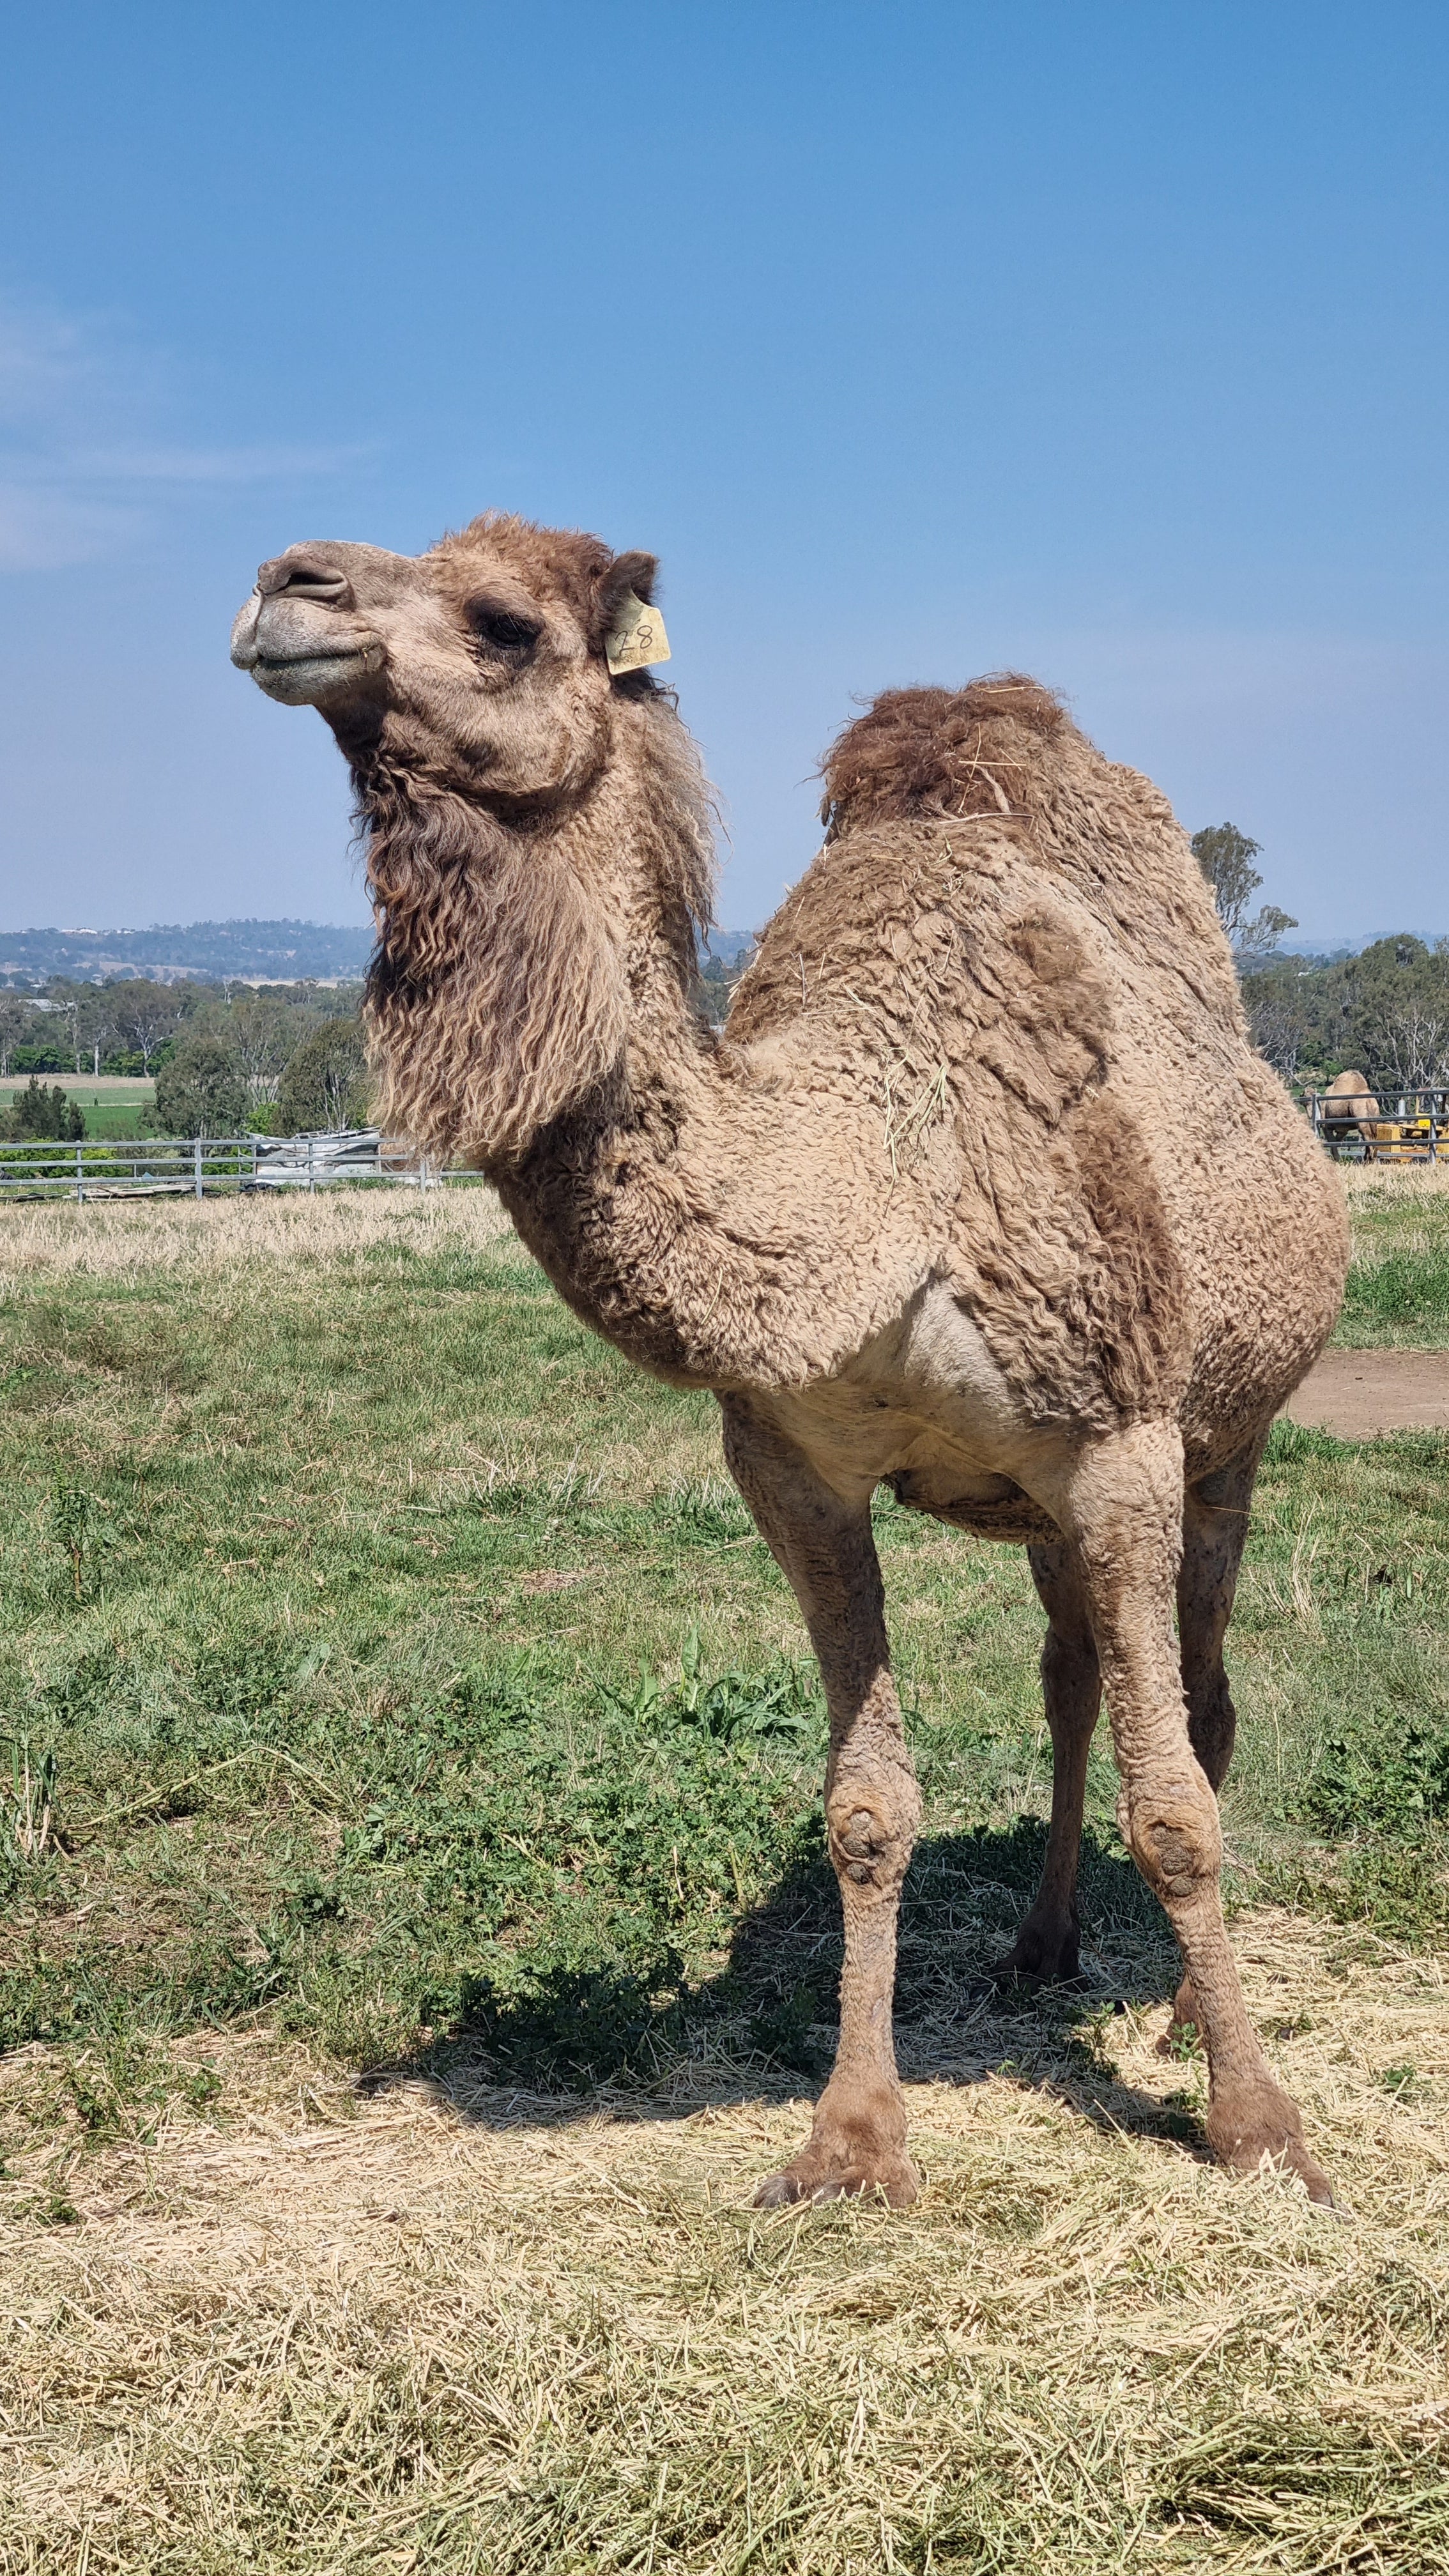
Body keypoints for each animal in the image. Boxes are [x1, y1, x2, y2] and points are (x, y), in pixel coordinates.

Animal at [231, 515, 1350, 2207]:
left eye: (503, 624)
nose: (285, 587)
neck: (879, 1183)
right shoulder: (791, 1468)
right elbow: (868, 1806)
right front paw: (852, 2138)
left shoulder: (1123, 1443)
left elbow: (1178, 1808)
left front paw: (1261, 2125)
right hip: (1045, 1504)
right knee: (1069, 1680)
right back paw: (1041, 1947)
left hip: (1228, 1437)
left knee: (1202, 1710)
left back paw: (1163, 2014)